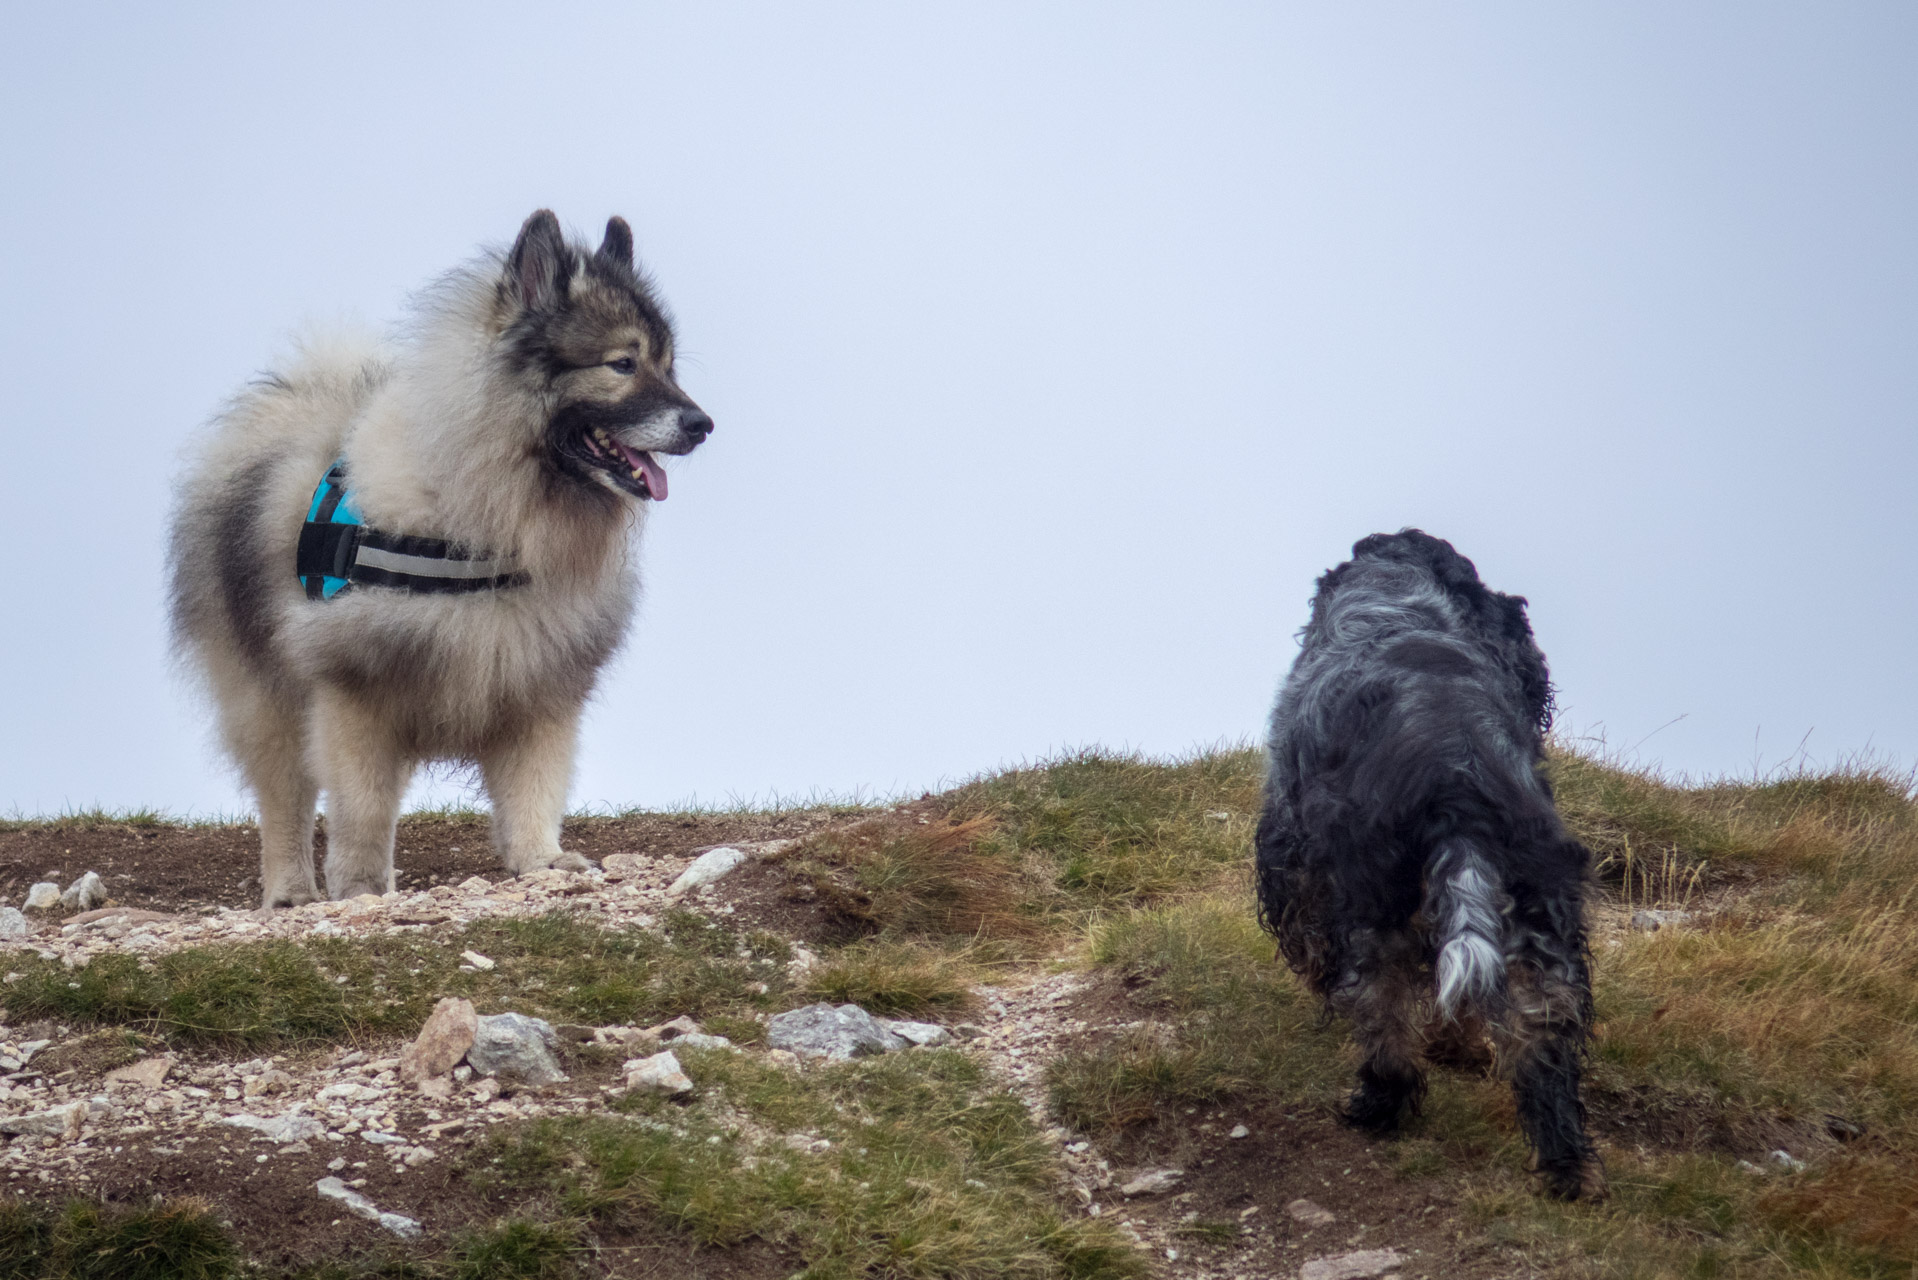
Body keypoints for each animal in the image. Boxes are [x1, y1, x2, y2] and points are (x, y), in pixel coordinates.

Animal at [170, 210, 713, 905]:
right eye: (622, 363)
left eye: (669, 366)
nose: (702, 424)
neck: (484, 510)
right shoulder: (355, 689)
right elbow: (362, 806)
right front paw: (360, 885)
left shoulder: (538, 683)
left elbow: (535, 785)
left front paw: (542, 860)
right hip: (265, 695)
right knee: (284, 800)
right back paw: (291, 891)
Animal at [1258, 529, 1603, 1205]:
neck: (1400, 592)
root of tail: (1457, 784)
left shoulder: (1290, 835)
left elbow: (1303, 931)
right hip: (1542, 905)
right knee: (1544, 1031)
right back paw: (1564, 1165)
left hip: (1375, 898)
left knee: (1384, 1008)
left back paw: (1375, 1108)